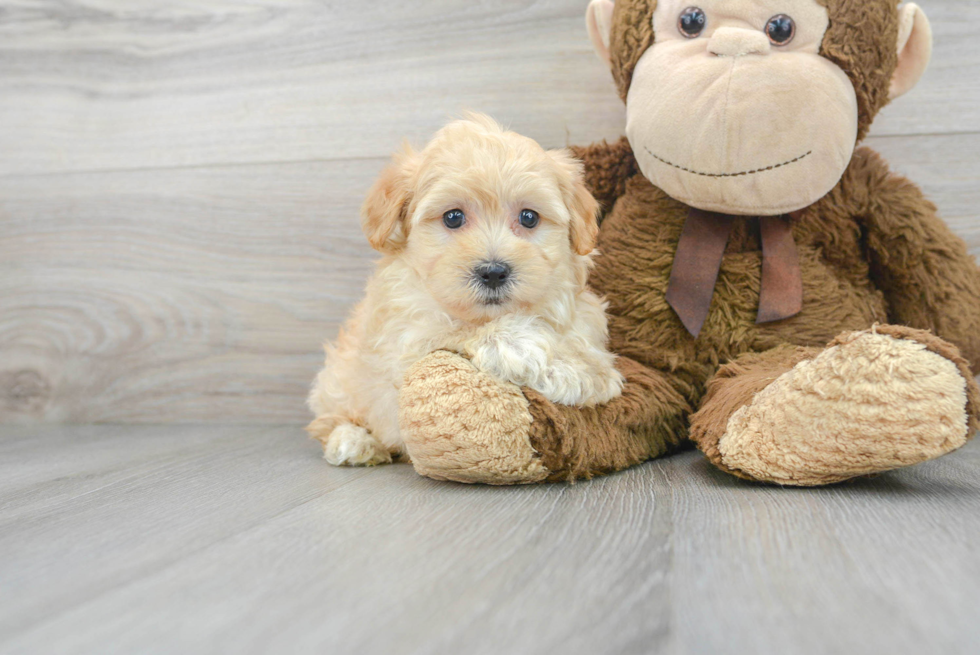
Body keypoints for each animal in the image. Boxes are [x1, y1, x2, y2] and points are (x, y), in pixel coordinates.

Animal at [306, 116, 624, 466]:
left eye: (529, 217)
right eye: (453, 217)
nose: (494, 272)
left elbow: (584, 347)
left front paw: (583, 370)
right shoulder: (405, 339)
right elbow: (452, 330)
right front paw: (527, 346)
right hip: (337, 381)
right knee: (331, 417)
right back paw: (353, 441)